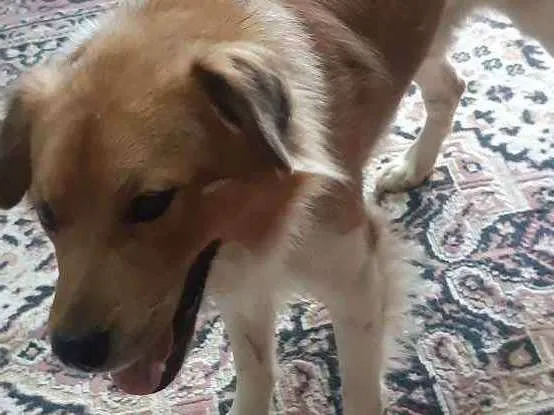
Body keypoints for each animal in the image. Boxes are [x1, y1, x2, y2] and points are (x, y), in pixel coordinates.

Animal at [0, 0, 550, 413]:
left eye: (152, 203)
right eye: (46, 214)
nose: (73, 352)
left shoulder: (356, 278)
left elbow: (359, 389)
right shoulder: (238, 285)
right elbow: (255, 372)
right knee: (449, 86)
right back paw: (413, 165)